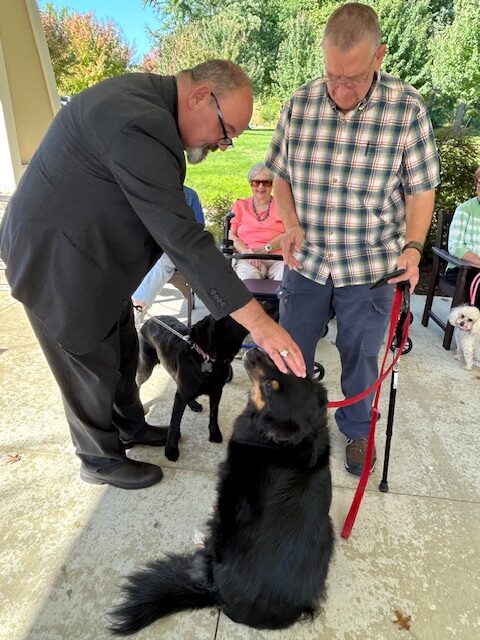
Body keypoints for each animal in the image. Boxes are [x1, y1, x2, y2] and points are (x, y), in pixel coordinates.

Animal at [135, 314, 248, 460]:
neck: (206, 359)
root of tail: (149, 319)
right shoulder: (181, 397)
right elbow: (175, 423)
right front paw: (171, 448)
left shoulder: (217, 391)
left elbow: (214, 414)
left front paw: (214, 432)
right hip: (146, 367)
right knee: (137, 383)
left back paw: (193, 403)